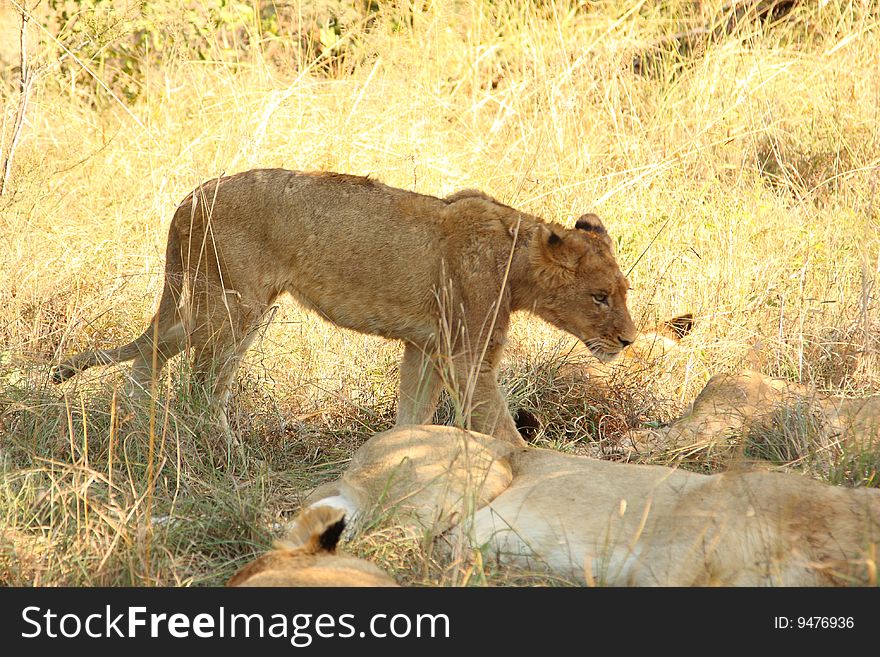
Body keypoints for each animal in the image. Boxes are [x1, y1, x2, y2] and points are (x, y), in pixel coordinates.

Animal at [53, 169, 632, 446]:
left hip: (217, 307)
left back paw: (137, 426)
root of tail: (188, 198)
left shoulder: (426, 347)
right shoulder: (466, 356)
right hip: (232, 307)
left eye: (622, 293)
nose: (629, 340)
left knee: (153, 357)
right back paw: (214, 447)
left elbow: (413, 413)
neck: (518, 261)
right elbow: (499, 426)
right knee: (197, 384)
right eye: (599, 297)